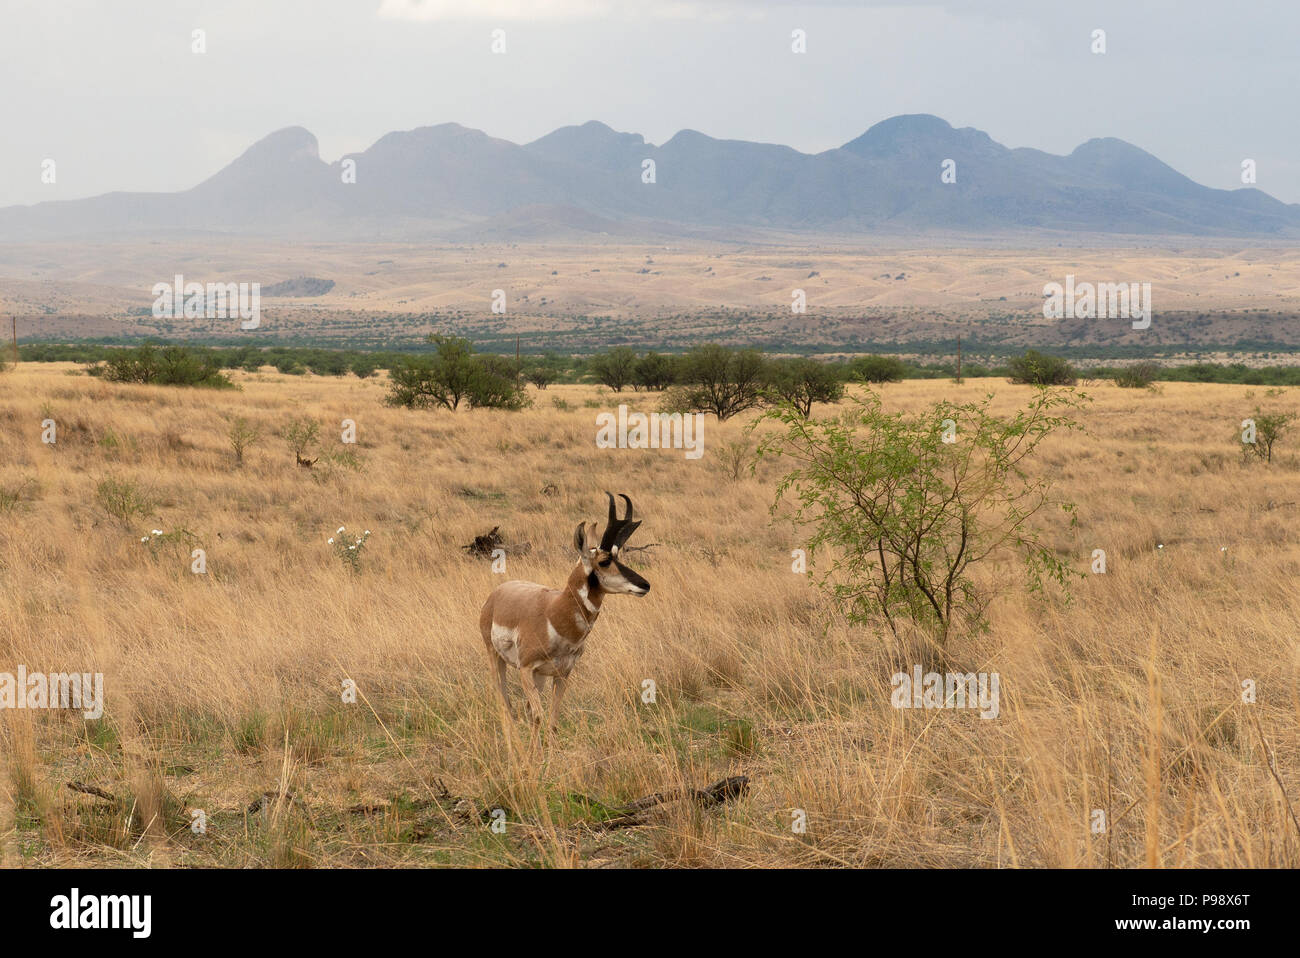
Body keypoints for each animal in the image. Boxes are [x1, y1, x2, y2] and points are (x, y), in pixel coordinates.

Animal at [478, 493, 650, 733]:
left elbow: (551, 721)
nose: (645, 585)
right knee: (506, 705)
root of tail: (497, 593)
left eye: (619, 556)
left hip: (540, 677)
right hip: (496, 658)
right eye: (605, 561)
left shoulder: (562, 675)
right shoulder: (526, 670)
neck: (555, 614)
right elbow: (538, 717)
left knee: (524, 710)